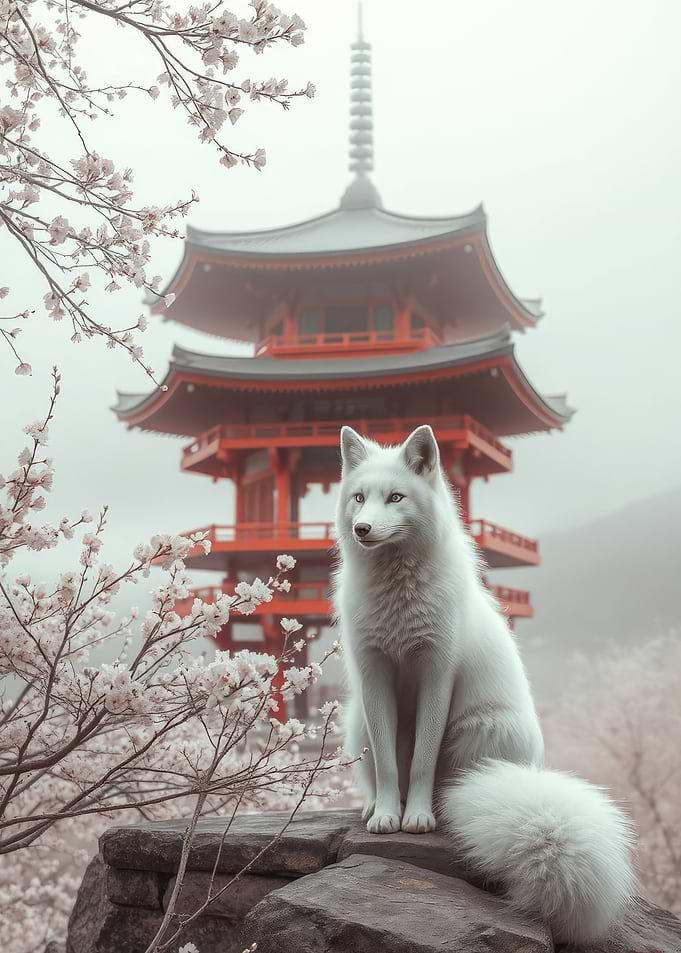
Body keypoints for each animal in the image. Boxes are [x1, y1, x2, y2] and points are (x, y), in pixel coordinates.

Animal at [333, 423, 636, 945]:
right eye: (359, 498)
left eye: (395, 497)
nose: (362, 529)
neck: (397, 596)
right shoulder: (374, 674)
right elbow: (392, 765)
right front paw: (388, 815)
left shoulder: (437, 672)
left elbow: (421, 762)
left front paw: (417, 818)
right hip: (356, 724)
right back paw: (373, 806)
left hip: (484, 729)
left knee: (446, 784)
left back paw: (442, 807)